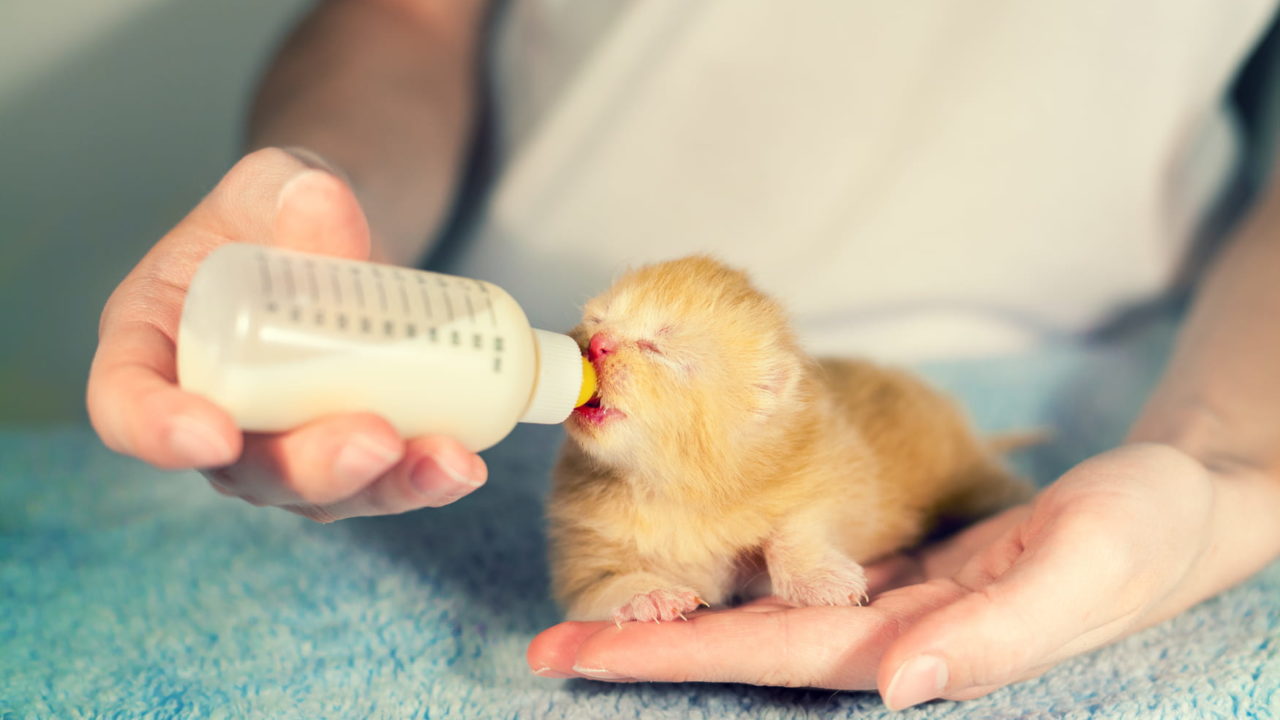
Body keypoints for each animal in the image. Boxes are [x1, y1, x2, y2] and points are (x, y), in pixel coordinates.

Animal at [547, 254, 1029, 620]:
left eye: (657, 348)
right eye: (596, 319)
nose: (597, 343)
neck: (670, 485)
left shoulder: (835, 471)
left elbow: (795, 525)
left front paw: (819, 579)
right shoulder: (584, 557)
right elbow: (602, 587)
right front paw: (648, 594)